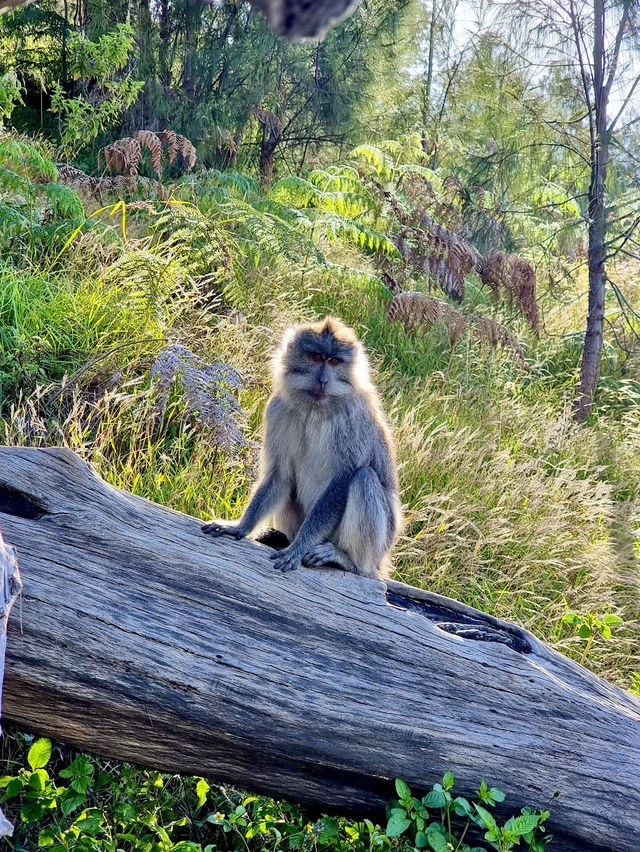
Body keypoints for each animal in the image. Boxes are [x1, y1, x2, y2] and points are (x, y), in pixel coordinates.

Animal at [200, 316, 402, 584]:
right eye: (316, 357)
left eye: (334, 361)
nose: (323, 380)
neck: (316, 408)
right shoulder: (278, 409)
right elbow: (280, 475)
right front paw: (241, 526)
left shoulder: (354, 415)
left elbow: (342, 480)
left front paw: (299, 546)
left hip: (377, 549)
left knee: (364, 478)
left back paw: (349, 561)